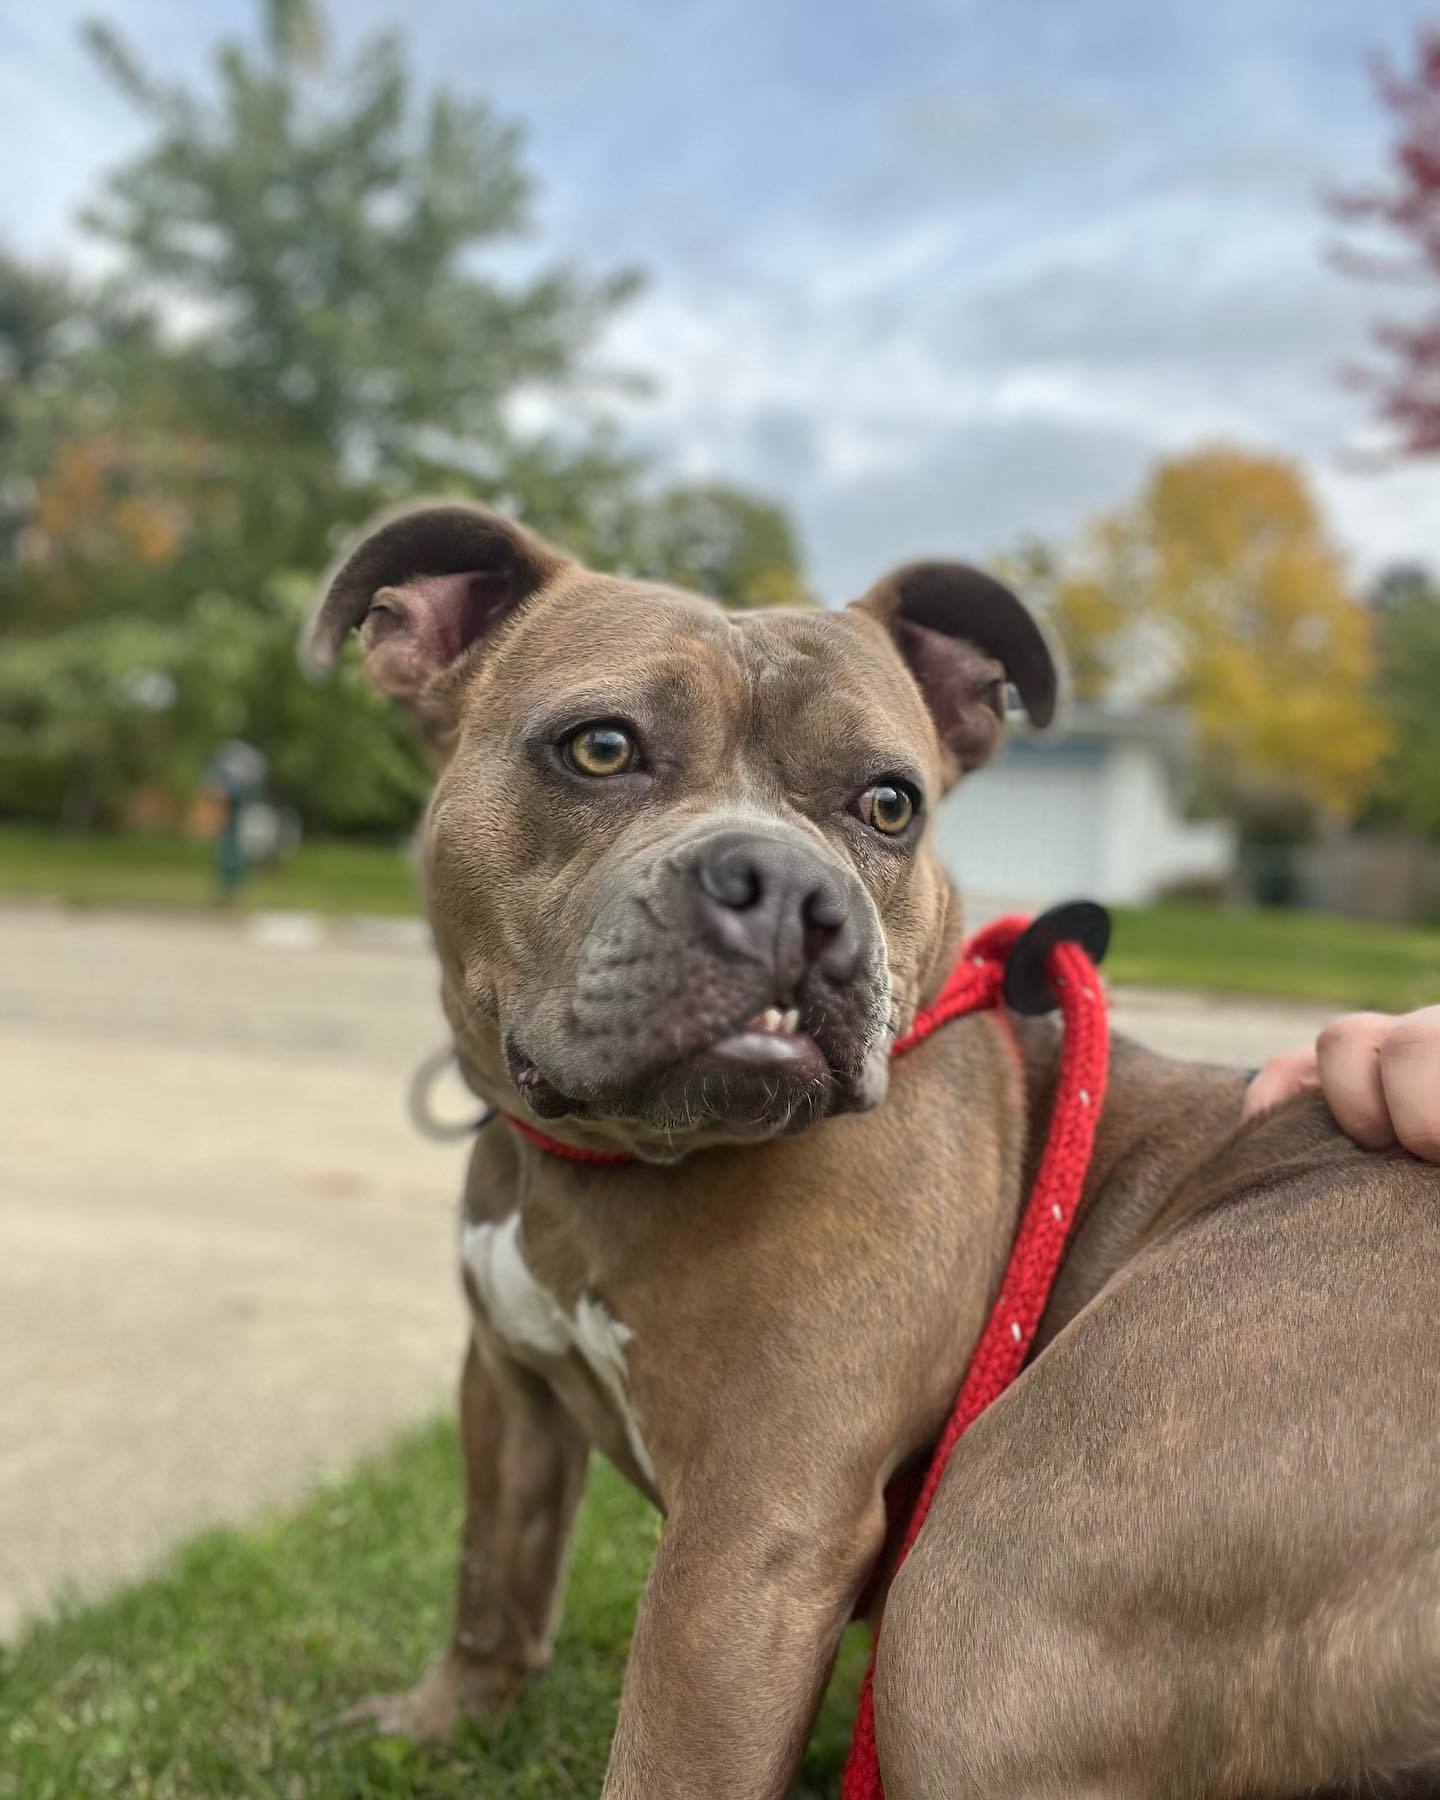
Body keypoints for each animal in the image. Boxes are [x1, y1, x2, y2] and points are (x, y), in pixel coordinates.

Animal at [304, 507, 1440, 1800]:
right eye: (600, 747)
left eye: (891, 804)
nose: (788, 886)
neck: (610, 1164)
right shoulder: (507, 1386)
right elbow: (493, 1570)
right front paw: (442, 1723)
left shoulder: (750, 1536)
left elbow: (661, 1759)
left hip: (989, 1582)